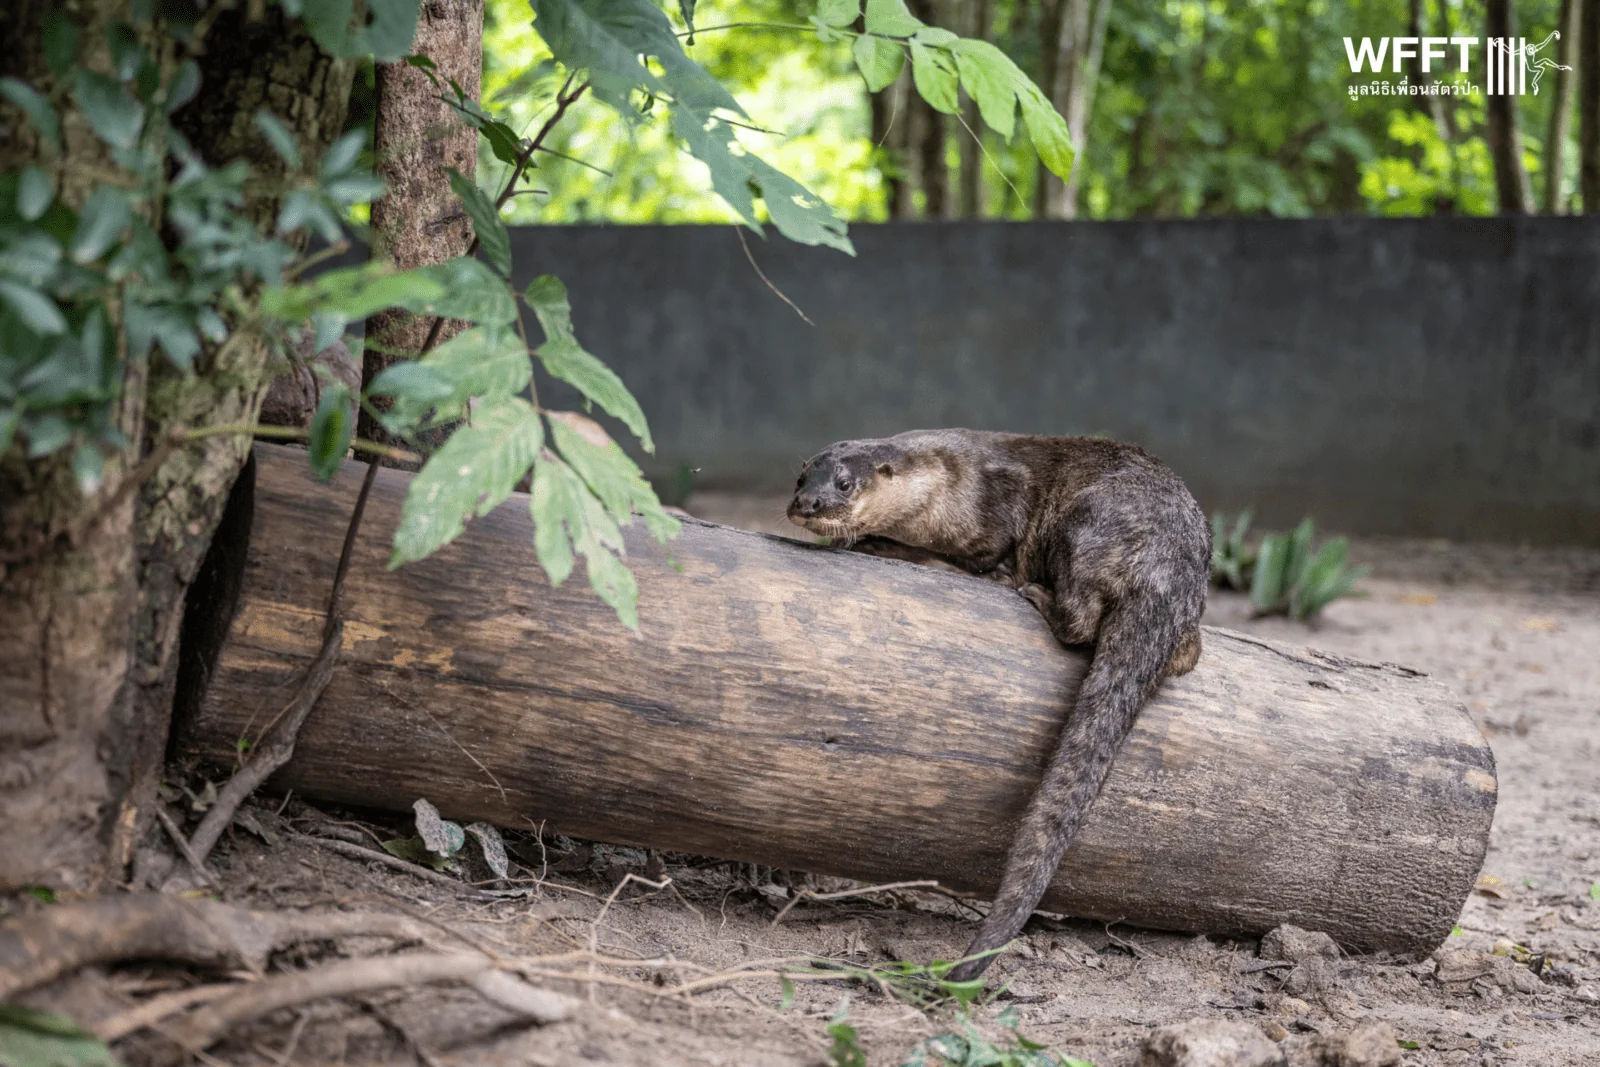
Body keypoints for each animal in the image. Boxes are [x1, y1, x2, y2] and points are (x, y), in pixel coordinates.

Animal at [787, 429, 1210, 982]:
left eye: (843, 482)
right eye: (801, 477)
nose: (806, 504)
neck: (944, 483)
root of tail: (1165, 570)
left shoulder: (997, 502)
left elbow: (992, 554)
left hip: (1083, 525)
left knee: (1079, 621)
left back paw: (1035, 593)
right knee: (1187, 653)